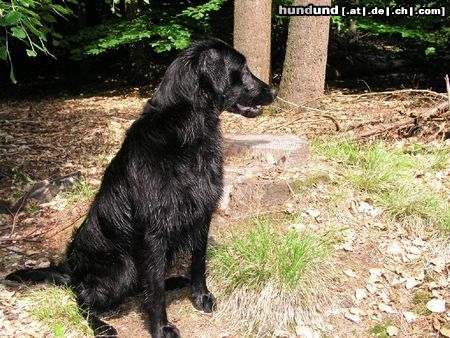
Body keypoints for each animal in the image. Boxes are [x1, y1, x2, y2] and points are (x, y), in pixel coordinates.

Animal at [5, 38, 276, 336]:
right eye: (243, 68)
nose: (274, 91)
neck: (186, 132)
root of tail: (72, 270)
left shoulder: (202, 216)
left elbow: (198, 263)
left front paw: (200, 297)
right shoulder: (154, 231)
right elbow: (154, 288)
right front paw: (160, 326)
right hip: (122, 266)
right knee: (83, 297)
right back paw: (101, 325)